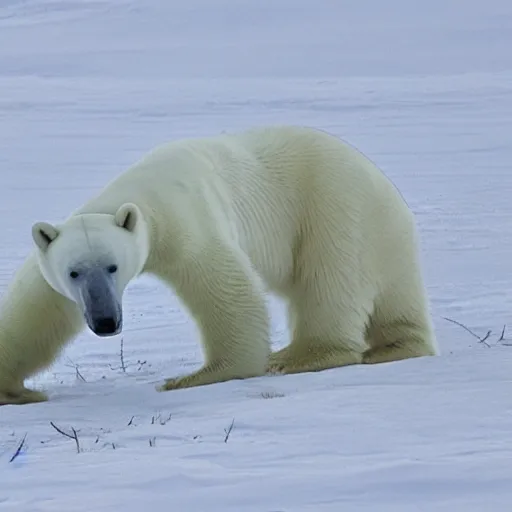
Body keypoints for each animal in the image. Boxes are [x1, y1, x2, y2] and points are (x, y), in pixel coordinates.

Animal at [0, 124, 436, 404]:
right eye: (74, 272)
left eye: (113, 267)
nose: (106, 322)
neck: (136, 194)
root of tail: (383, 185)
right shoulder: (58, 271)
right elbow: (34, 310)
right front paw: (17, 392)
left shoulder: (186, 220)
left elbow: (225, 289)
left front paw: (191, 378)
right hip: (383, 235)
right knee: (396, 294)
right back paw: (395, 345)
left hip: (333, 208)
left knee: (329, 280)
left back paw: (296, 357)